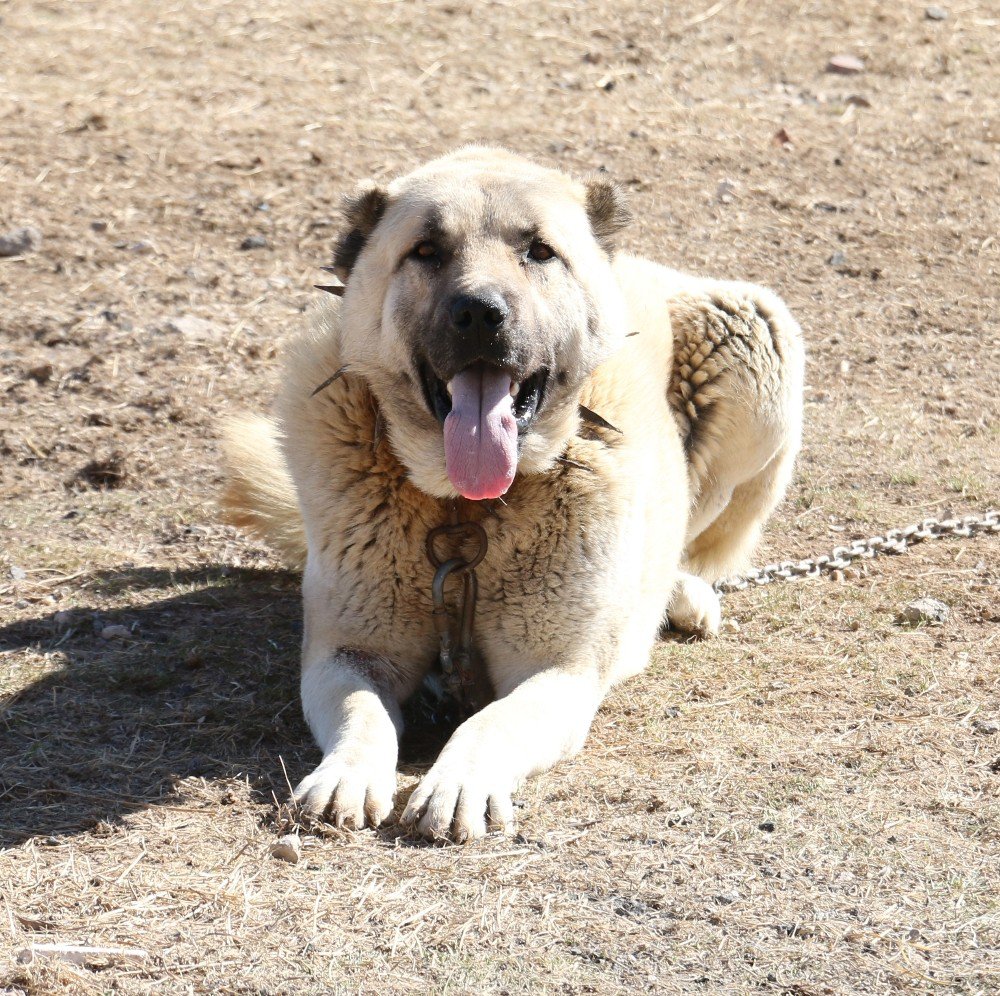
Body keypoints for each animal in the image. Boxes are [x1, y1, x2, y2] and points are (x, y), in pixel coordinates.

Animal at [221, 146, 804, 840]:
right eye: (426, 251)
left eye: (539, 251)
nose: (479, 313)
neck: (463, 508)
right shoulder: (346, 651)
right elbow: (364, 712)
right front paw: (346, 776)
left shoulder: (559, 670)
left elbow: (491, 721)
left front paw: (457, 783)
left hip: (755, 339)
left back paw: (680, 594)